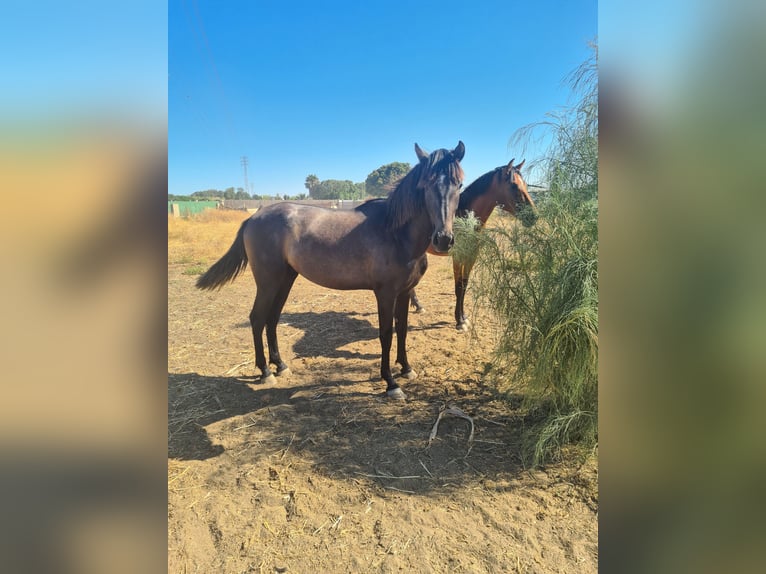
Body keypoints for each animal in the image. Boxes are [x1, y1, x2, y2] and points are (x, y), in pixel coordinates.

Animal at [195, 143, 464, 400]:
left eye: (459, 184)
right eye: (426, 184)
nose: (443, 239)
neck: (396, 233)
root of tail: (253, 218)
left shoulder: (406, 291)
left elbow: (403, 329)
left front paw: (406, 369)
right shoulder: (385, 294)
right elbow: (386, 334)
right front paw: (390, 383)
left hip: (285, 280)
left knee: (272, 319)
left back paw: (280, 365)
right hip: (267, 282)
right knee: (257, 319)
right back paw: (265, 372)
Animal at [412, 161, 536, 332]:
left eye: (525, 184)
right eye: (513, 185)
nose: (534, 216)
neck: (464, 216)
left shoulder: (471, 256)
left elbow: (464, 285)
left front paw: (464, 317)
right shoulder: (458, 257)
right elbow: (458, 286)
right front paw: (459, 322)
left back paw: (418, 306)